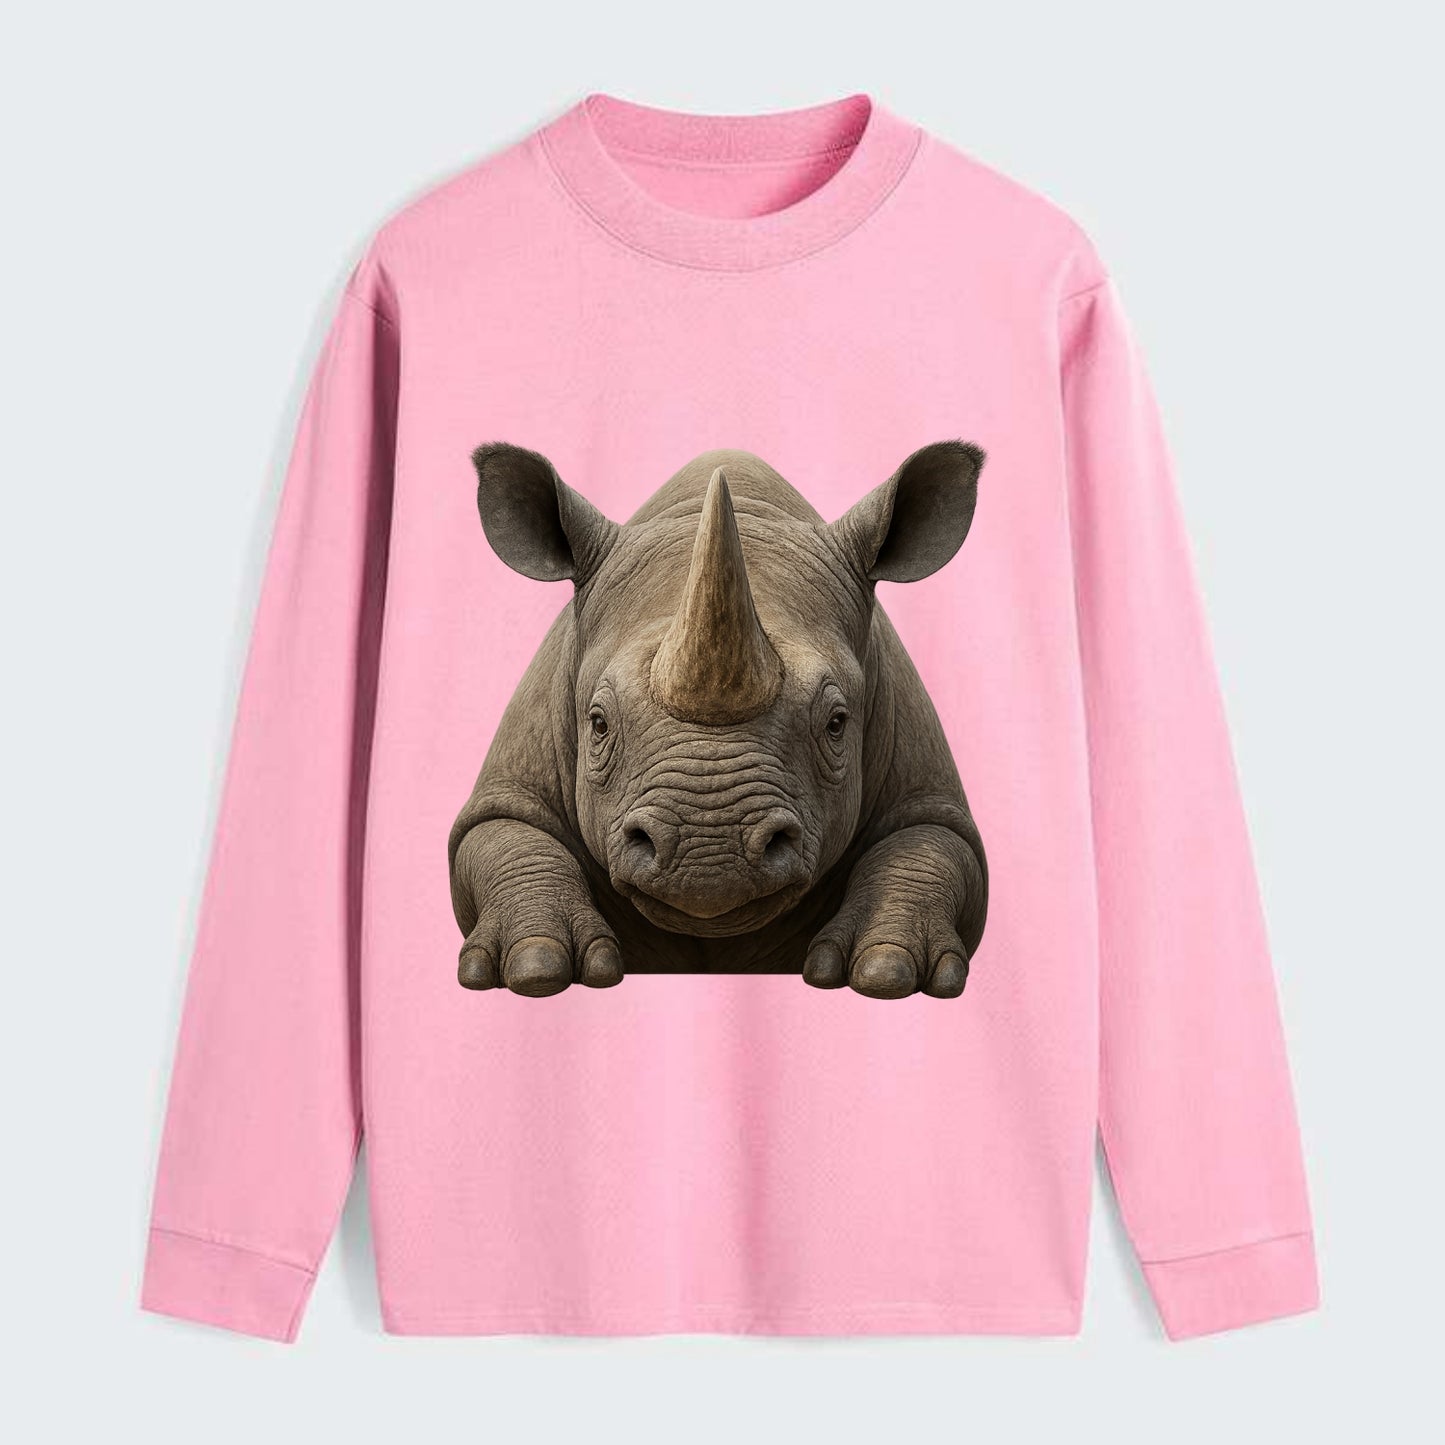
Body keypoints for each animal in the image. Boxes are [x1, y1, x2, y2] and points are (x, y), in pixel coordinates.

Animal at [448, 441, 988, 1000]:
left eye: (837, 723)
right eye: (597, 724)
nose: (709, 855)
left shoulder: (923, 783)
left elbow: (928, 843)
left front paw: (887, 970)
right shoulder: (513, 782)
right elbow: (505, 833)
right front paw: (535, 967)